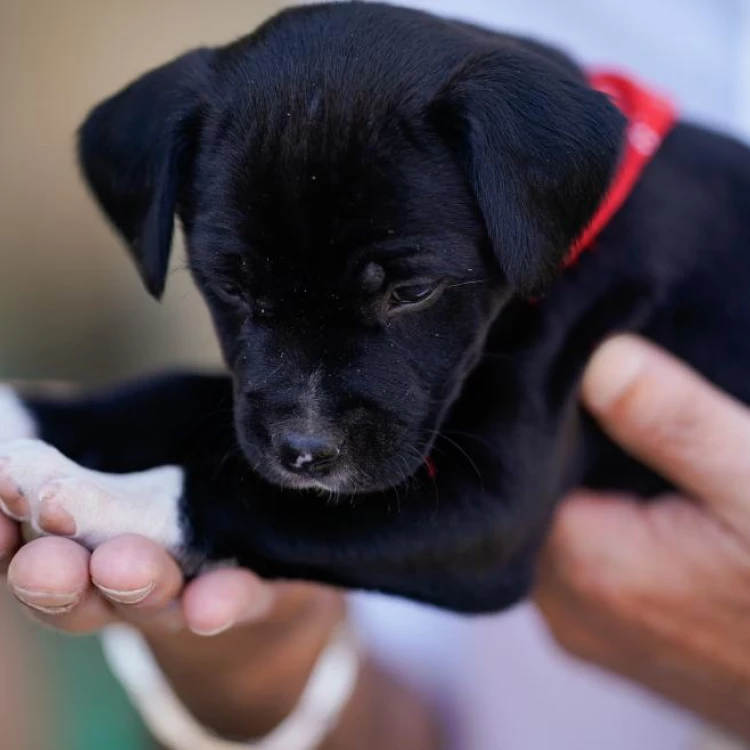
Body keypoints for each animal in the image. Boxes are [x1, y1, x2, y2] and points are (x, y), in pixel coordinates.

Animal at [1, 2, 750, 612]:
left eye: (412, 292)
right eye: (233, 288)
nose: (306, 454)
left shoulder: (490, 512)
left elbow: (235, 493)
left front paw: (77, 488)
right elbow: (178, 394)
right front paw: (25, 412)